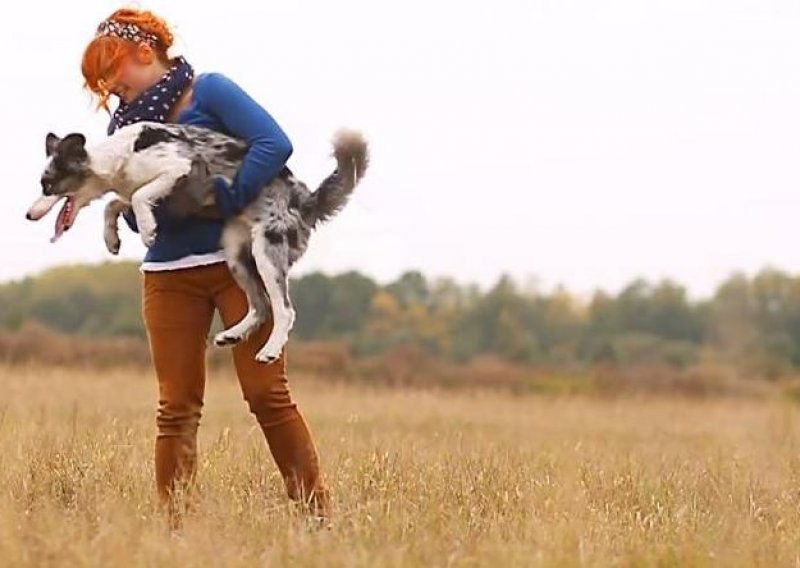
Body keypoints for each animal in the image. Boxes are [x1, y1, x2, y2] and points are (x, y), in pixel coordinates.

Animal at [26, 123, 370, 364]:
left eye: (48, 185)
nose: (27, 215)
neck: (119, 158)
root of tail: (306, 200)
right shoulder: (150, 191)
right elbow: (114, 203)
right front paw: (112, 238)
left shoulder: (177, 169)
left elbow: (136, 197)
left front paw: (148, 230)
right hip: (236, 254)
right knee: (260, 305)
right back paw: (233, 334)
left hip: (267, 252)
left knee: (284, 310)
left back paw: (269, 351)